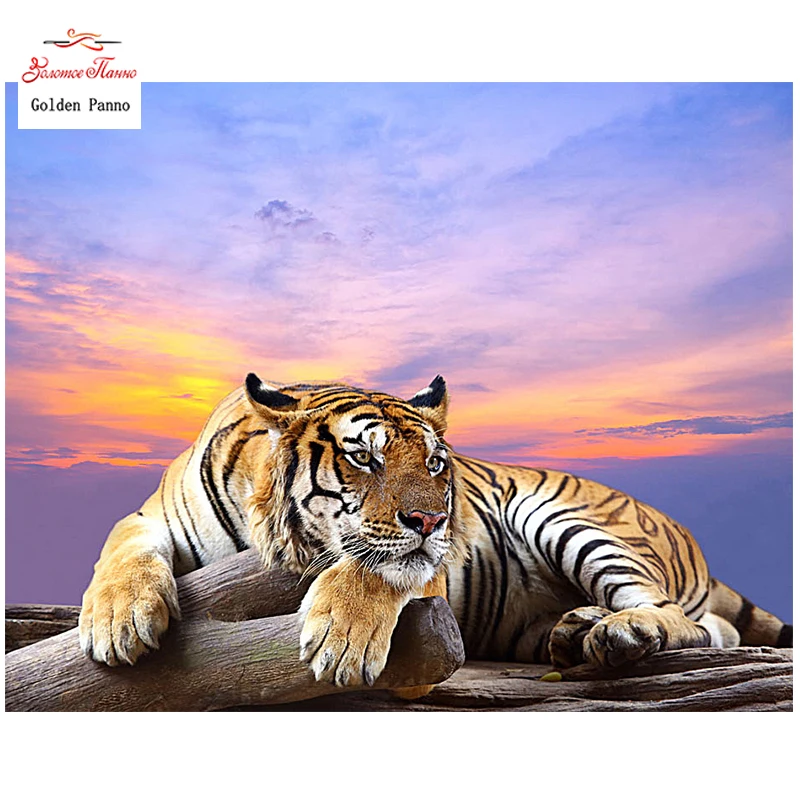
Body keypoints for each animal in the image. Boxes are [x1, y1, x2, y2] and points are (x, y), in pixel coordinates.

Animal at [79, 373, 792, 693]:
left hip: (569, 520)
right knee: (715, 628)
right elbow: (120, 549)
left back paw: (619, 633)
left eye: (434, 464)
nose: (432, 520)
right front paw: (117, 623)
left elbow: (377, 567)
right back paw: (576, 631)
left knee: (681, 619)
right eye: (363, 457)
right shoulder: (150, 517)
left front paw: (341, 643)